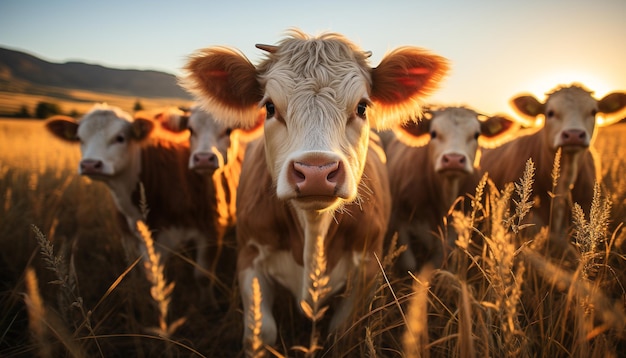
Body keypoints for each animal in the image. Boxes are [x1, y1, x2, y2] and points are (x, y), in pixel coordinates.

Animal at [44, 104, 236, 304]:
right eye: (80, 139)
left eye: (120, 138)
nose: (90, 164)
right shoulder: (135, 239)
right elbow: (147, 278)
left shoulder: (211, 230)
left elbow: (203, 277)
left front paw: (209, 305)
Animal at [180, 30, 448, 350]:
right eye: (270, 107)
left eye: (362, 107)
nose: (316, 172)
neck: (313, 229)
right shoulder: (249, 257)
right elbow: (261, 331)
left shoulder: (368, 266)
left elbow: (342, 332)